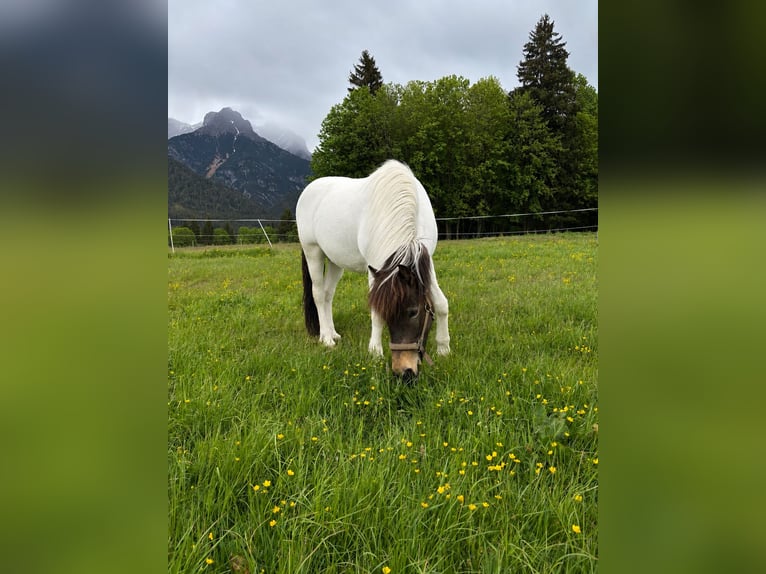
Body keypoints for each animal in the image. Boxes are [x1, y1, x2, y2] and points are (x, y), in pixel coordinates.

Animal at [296, 160, 450, 380]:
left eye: (413, 312)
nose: (403, 372)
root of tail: (309, 189)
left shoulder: (426, 263)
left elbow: (441, 303)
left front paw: (444, 349)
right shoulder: (375, 267)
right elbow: (376, 313)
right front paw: (375, 352)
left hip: (335, 261)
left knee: (327, 295)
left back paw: (334, 333)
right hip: (313, 252)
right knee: (317, 294)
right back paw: (326, 338)